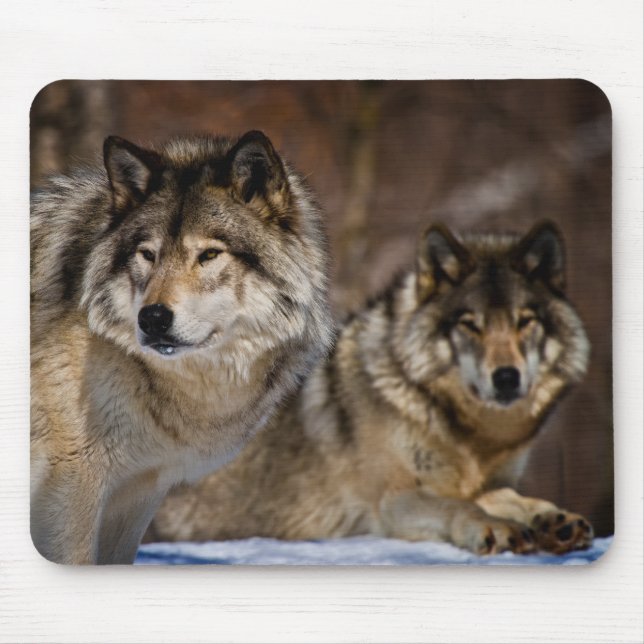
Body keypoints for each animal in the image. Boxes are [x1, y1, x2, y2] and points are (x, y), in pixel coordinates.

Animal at [149, 220, 593, 555]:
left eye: (525, 321)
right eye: (470, 324)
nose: (506, 377)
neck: (470, 437)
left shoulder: (483, 482)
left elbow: (507, 498)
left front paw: (552, 519)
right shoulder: (392, 500)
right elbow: (459, 507)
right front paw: (497, 528)